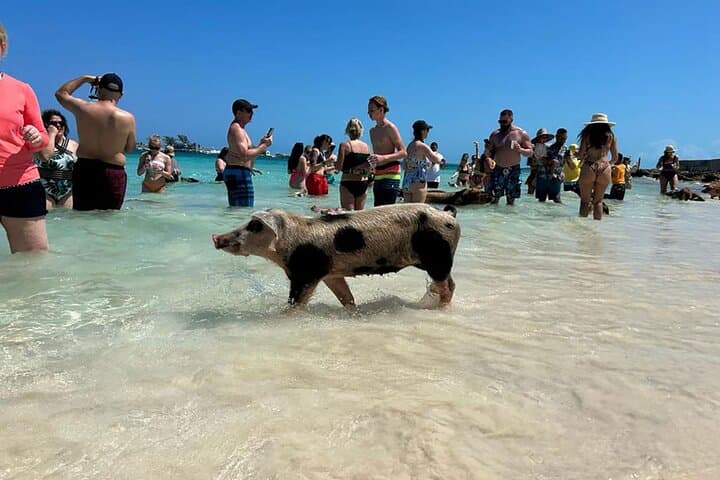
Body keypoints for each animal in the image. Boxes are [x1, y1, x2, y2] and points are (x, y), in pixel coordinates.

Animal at [212, 203, 460, 308]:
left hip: (437, 256)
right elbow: (345, 297)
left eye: (254, 225)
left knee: (447, 286)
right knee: (451, 283)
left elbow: (296, 303)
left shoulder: (305, 273)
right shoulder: (331, 274)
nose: (215, 237)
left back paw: (439, 307)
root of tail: (448, 214)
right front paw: (353, 311)